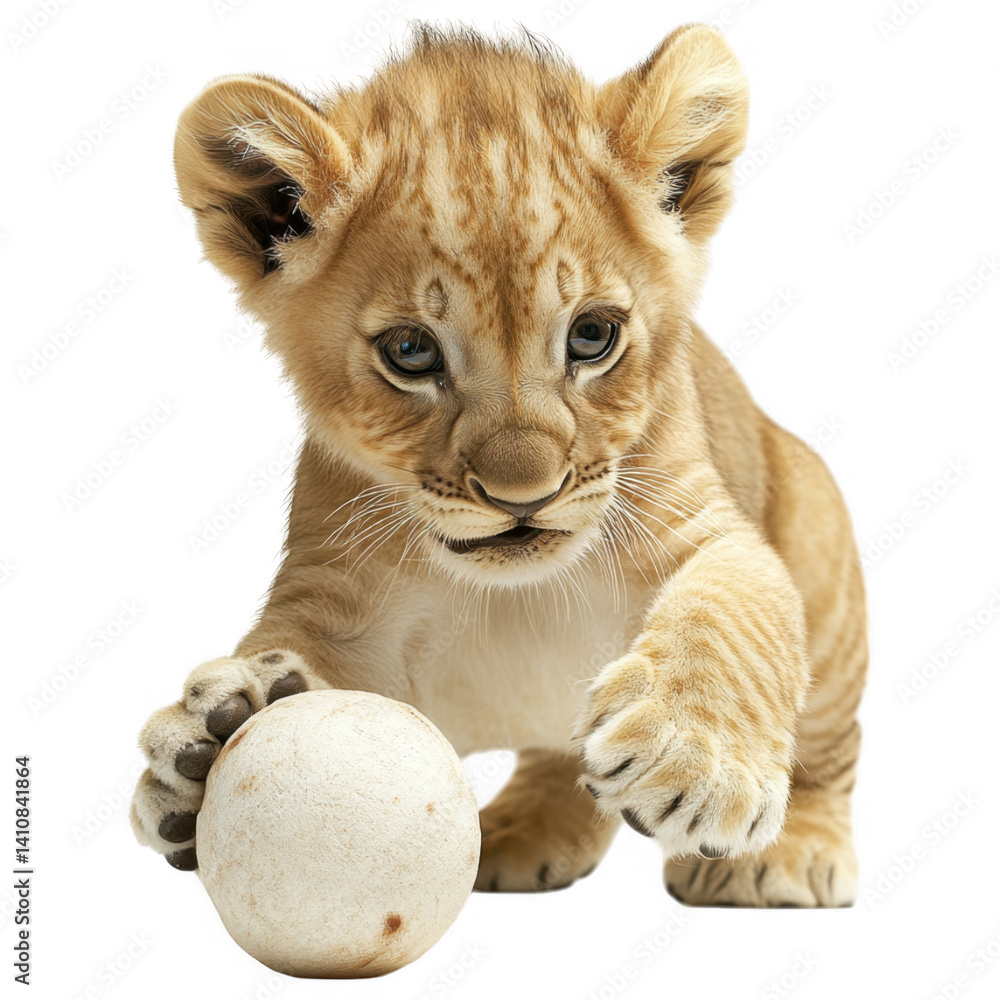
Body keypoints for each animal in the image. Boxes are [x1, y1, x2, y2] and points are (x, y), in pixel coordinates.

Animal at [130, 23, 867, 908]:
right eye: (410, 352)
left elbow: (731, 611)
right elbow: (292, 643)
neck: (518, 593)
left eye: (592, 335)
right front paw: (210, 736)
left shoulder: (707, 525)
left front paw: (691, 758)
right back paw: (524, 833)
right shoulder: (334, 597)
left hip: (822, 546)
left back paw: (783, 857)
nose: (524, 496)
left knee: (828, 747)